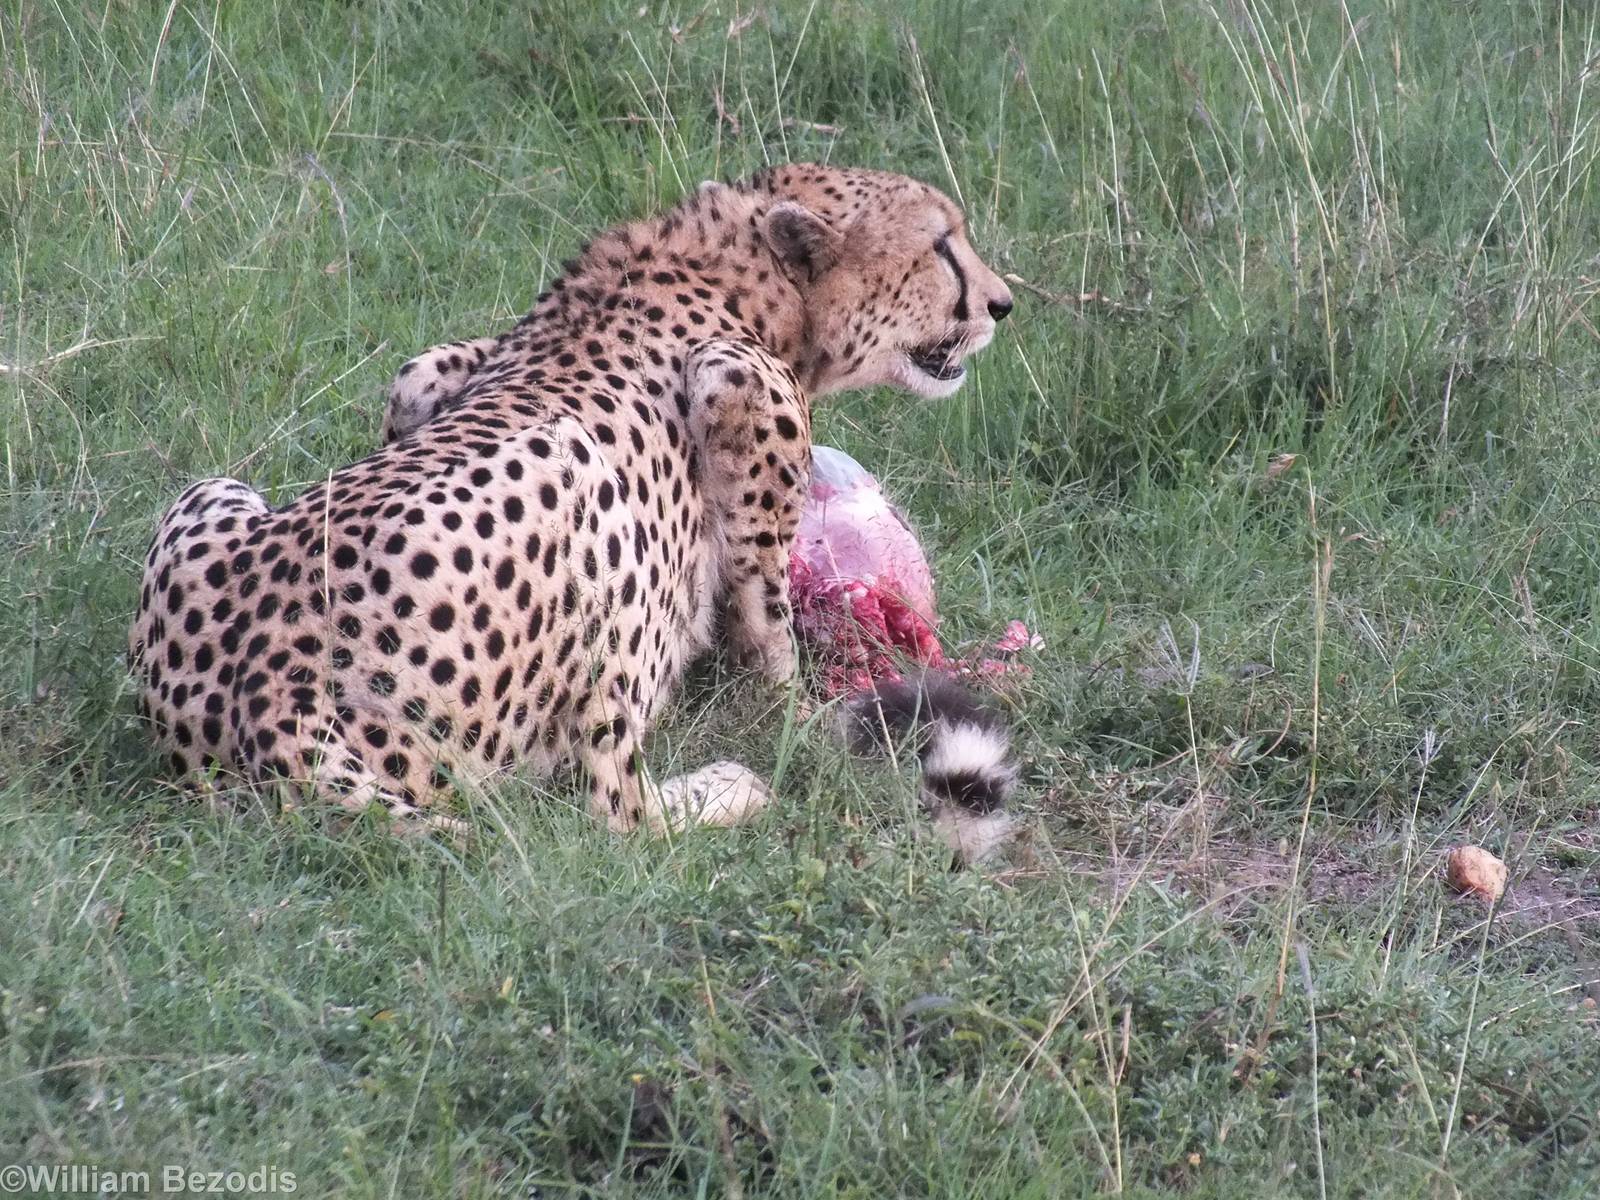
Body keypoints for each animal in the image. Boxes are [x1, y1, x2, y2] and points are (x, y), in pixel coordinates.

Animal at [128, 163, 1016, 840]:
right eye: (943, 245)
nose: (1002, 304)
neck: (738, 265)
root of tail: (267, 696)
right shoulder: (734, 377)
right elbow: (766, 615)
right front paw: (791, 711)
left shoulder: (430, 373)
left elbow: (421, 371)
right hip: (586, 526)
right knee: (615, 813)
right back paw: (731, 787)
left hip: (210, 493)